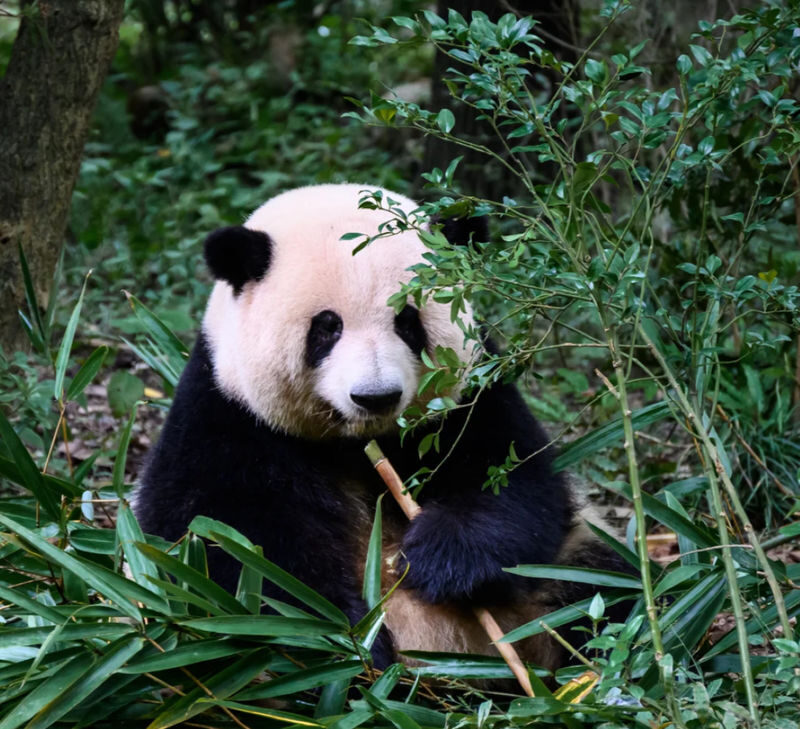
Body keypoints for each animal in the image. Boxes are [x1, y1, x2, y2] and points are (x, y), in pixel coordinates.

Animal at [134, 183, 631, 673]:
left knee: (604, 594)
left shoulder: (475, 392)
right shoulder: (226, 412)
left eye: (407, 322)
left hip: (567, 573)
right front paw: (345, 639)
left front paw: (441, 560)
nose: (375, 396)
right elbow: (226, 546)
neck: (356, 442)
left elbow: (516, 480)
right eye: (327, 328)